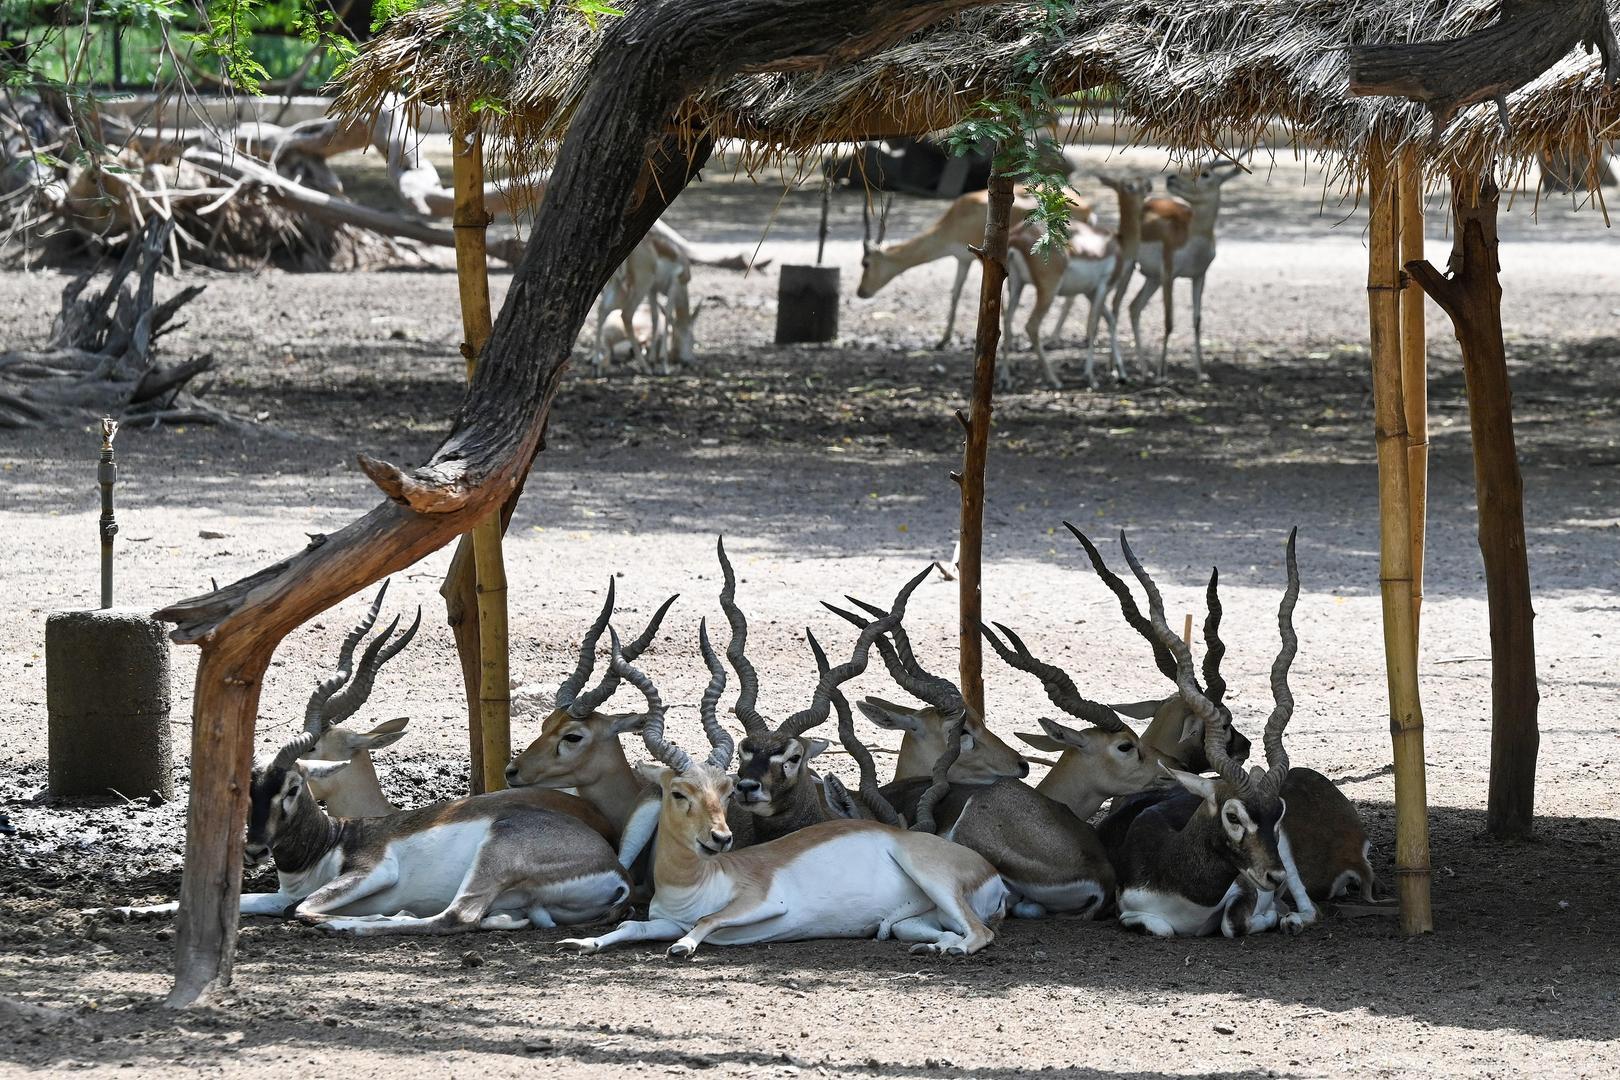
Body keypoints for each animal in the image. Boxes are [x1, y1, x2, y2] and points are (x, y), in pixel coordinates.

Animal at [558, 587, 1009, 959]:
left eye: (724, 792)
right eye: (679, 792)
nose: (720, 838)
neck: (698, 880)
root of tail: (989, 871)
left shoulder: (762, 903)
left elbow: (706, 921)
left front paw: (683, 947)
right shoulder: (664, 920)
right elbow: (632, 925)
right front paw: (581, 941)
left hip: (932, 879)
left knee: (981, 933)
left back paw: (951, 950)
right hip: (915, 922)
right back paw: (928, 946)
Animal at [856, 187, 1094, 350]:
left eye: (865, 263)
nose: (861, 292)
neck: (957, 218)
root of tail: (1086, 207)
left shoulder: (985, 258)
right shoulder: (963, 259)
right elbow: (955, 293)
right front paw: (943, 339)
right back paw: (1058, 338)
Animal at [1127, 159, 1245, 382]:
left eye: (1205, 173)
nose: (1171, 178)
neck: (1193, 238)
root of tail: (1145, 205)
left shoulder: (1199, 276)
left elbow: (1197, 321)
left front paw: (1201, 373)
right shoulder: (1169, 275)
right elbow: (1169, 321)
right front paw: (1162, 374)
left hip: (1152, 278)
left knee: (1134, 307)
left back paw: (1144, 370)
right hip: (1130, 268)